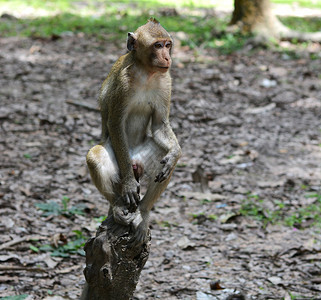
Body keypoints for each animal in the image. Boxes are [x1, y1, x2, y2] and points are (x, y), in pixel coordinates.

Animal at [85, 17, 180, 245]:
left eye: (168, 45)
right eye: (157, 45)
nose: (167, 57)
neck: (146, 72)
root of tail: (134, 160)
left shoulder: (166, 80)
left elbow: (160, 125)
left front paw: (176, 153)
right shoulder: (123, 83)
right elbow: (115, 123)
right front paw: (128, 185)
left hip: (143, 159)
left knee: (163, 162)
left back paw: (143, 213)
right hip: (121, 161)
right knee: (95, 155)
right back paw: (118, 206)